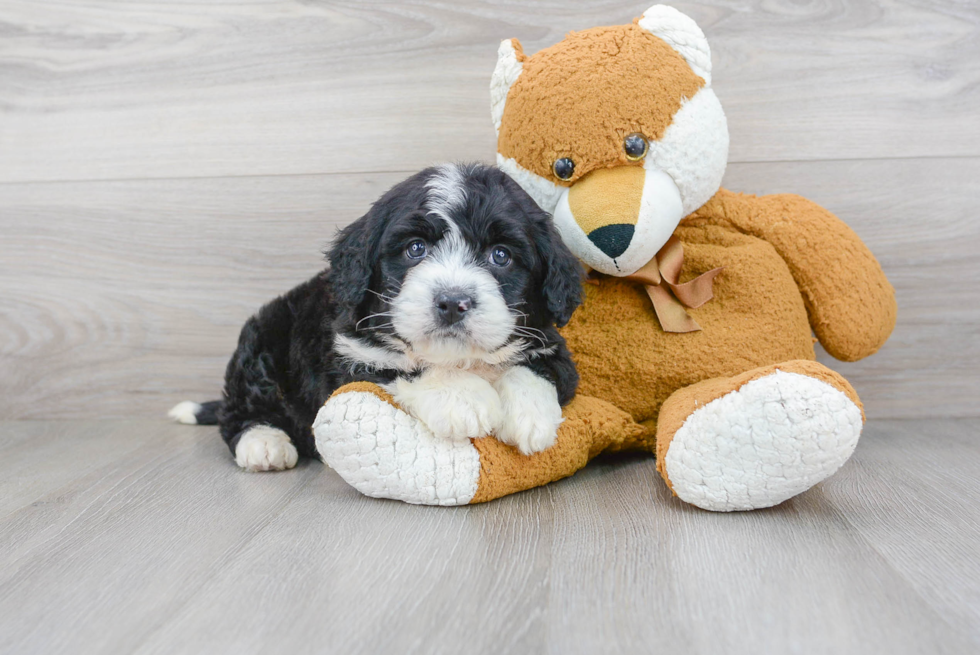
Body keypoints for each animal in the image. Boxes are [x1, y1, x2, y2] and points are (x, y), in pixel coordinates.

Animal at [169, 164, 584, 472]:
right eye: (415, 249)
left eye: (501, 255)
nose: (452, 302)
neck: (458, 358)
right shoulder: (349, 353)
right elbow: (400, 367)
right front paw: (463, 397)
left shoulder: (551, 342)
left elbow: (535, 367)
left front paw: (530, 417)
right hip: (262, 338)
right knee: (242, 409)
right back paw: (264, 443)